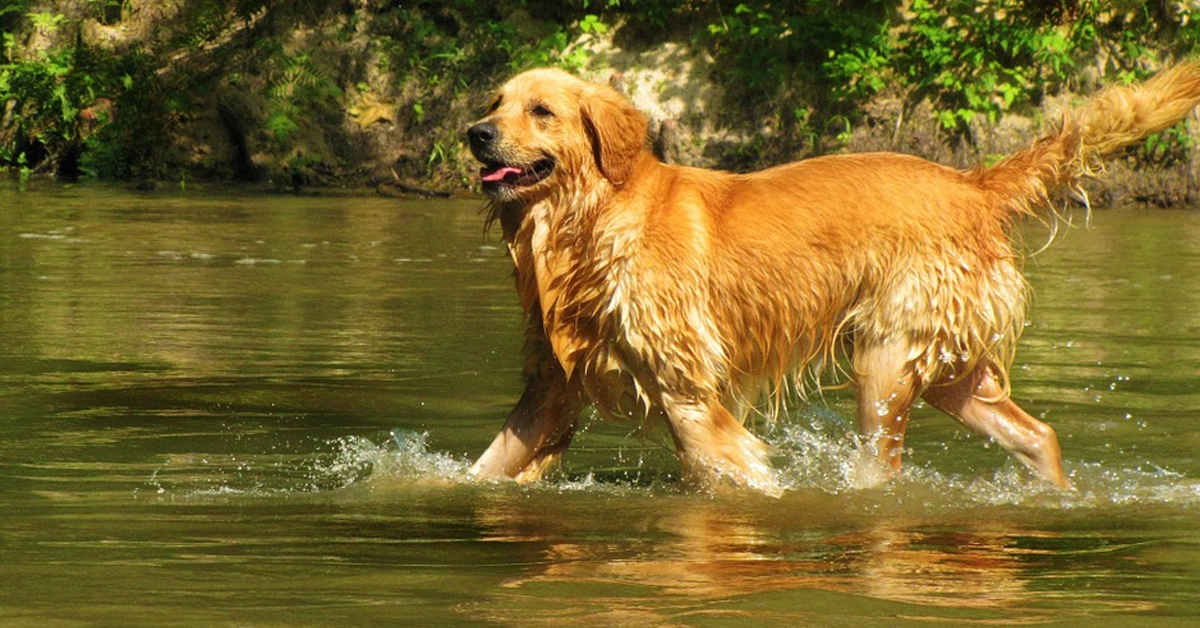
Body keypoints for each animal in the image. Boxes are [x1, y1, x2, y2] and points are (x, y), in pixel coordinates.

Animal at [460, 63, 1200, 497]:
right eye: (496, 102)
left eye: (541, 110)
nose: (474, 133)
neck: (590, 221)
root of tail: (972, 184)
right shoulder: (553, 387)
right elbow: (484, 466)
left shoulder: (687, 394)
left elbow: (736, 471)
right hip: (949, 368)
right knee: (1037, 434)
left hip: (887, 359)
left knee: (882, 468)